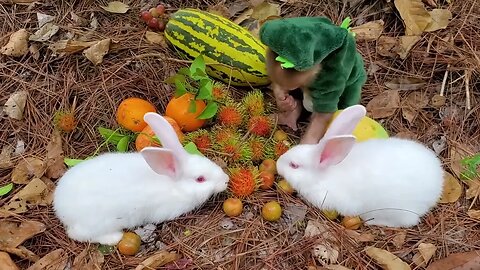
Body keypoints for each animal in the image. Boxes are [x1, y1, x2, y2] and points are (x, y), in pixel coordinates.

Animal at [53, 112, 230, 245]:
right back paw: (113, 238)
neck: (174, 185)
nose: (226, 180)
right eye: (200, 179)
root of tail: (60, 207)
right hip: (98, 222)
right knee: (77, 234)